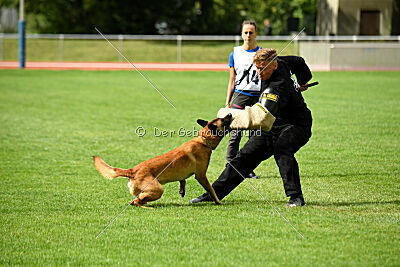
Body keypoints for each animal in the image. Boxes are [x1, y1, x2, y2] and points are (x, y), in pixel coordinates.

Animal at [93, 114, 231, 208]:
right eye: (223, 120)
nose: (230, 113)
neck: (204, 140)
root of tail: (132, 171)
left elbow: (183, 180)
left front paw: (182, 189)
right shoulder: (201, 175)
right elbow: (211, 190)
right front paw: (218, 201)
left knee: (136, 200)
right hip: (158, 190)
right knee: (135, 201)